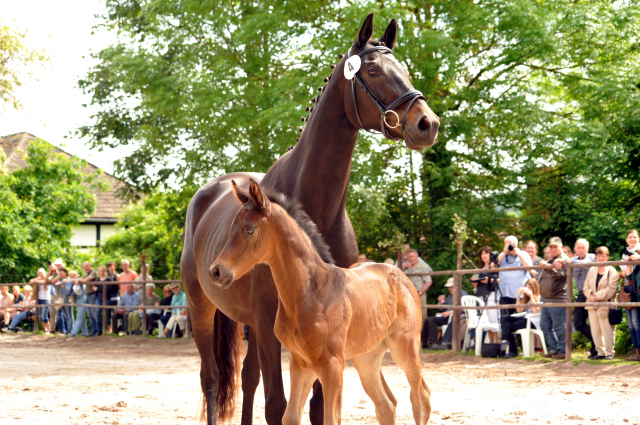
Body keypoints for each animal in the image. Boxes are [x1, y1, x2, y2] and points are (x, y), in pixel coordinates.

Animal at [211, 179, 430, 424]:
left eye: (249, 229)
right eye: (231, 228)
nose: (216, 271)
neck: (310, 292)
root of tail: (400, 275)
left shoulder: (332, 365)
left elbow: (330, 418)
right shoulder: (301, 364)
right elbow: (290, 417)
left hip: (405, 346)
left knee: (420, 397)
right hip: (366, 357)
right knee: (386, 403)